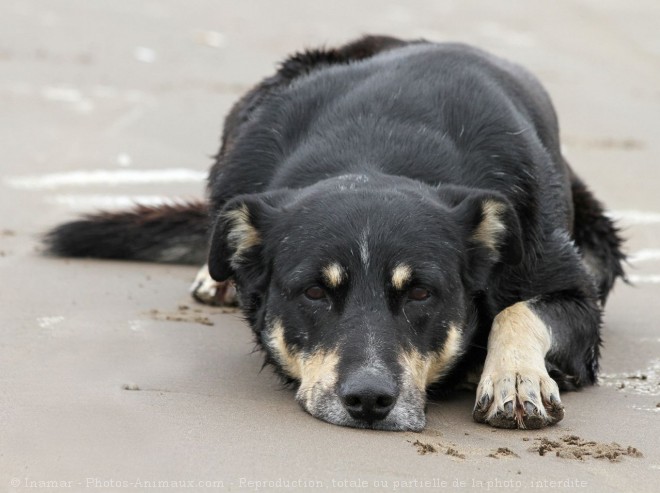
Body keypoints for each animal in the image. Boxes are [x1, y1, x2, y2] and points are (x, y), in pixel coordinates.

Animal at [46, 35, 624, 430]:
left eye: (420, 293)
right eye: (314, 293)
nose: (368, 401)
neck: (378, 147)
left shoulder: (573, 289)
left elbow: (518, 311)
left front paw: (515, 378)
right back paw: (217, 278)